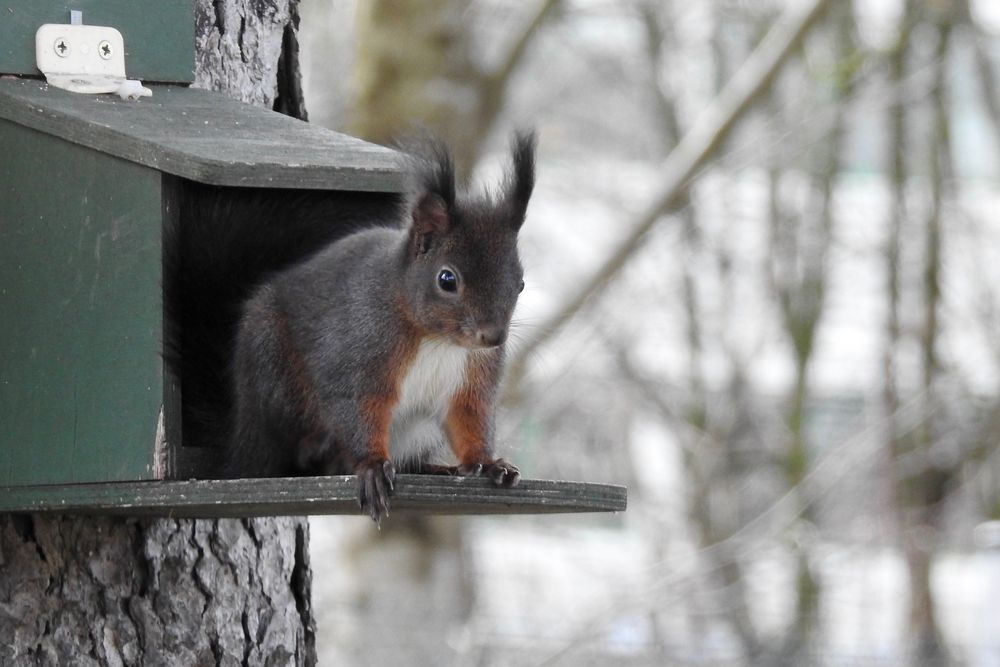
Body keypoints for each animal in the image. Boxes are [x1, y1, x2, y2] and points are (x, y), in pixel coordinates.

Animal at [168, 133, 536, 524]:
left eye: (520, 284)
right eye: (447, 279)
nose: (493, 336)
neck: (437, 340)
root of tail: (239, 441)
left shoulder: (472, 380)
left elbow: (471, 418)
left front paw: (490, 463)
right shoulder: (359, 353)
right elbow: (358, 408)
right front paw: (372, 466)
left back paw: (437, 468)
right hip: (274, 380)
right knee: (284, 456)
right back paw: (318, 451)